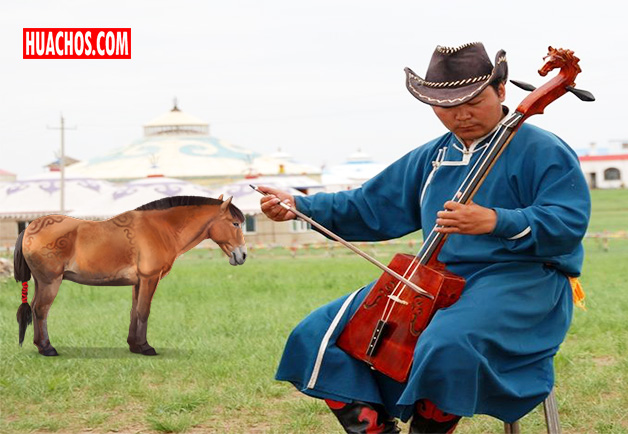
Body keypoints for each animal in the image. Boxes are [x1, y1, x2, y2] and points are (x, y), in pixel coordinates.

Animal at [14, 195, 247, 356]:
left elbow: (134, 311)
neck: (160, 228)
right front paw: (145, 347)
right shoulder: (149, 278)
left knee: (35, 308)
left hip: (41, 282)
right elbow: (144, 311)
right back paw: (47, 348)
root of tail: (29, 228)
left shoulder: (138, 283)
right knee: (41, 310)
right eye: (235, 223)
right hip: (50, 282)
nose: (242, 255)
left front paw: (134, 345)